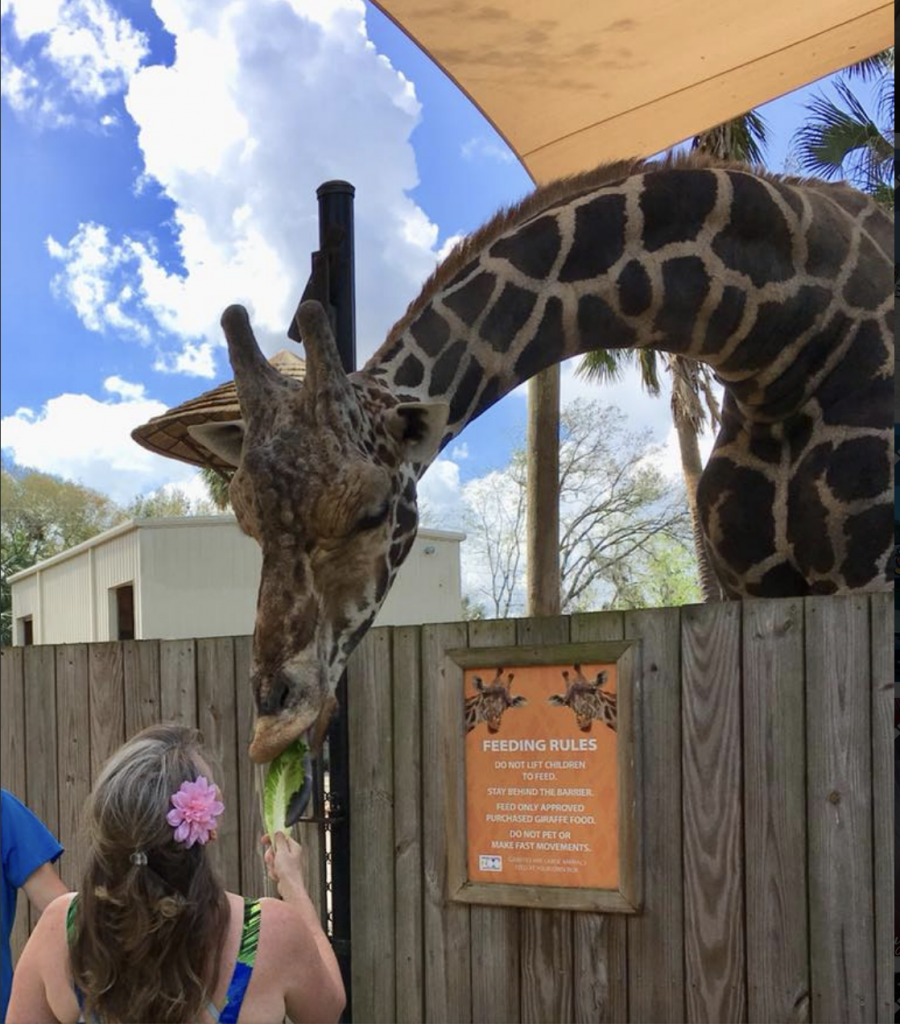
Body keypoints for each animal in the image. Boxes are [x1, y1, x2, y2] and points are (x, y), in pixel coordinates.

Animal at [195, 151, 892, 761]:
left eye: (370, 512)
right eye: (246, 523)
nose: (273, 722)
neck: (782, 339)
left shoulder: (869, 574)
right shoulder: (757, 585)